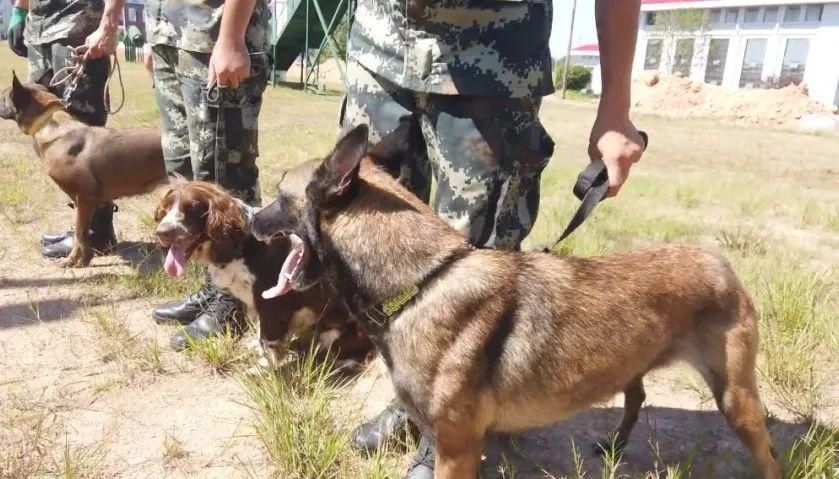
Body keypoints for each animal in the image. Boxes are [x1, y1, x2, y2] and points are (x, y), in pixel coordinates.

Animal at [0, 74, 167, 268]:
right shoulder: (83, 201)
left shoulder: (85, 197)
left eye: (3, 97)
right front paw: (85, 258)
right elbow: (83, 233)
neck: (49, 124)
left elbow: (79, 232)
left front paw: (73, 260)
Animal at [248, 124, 780, 479]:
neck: (424, 280)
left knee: (767, 454)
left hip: (736, 400)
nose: (250, 215)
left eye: (278, 195)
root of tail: (718, 260)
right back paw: (613, 445)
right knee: (636, 396)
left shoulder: (457, 449)